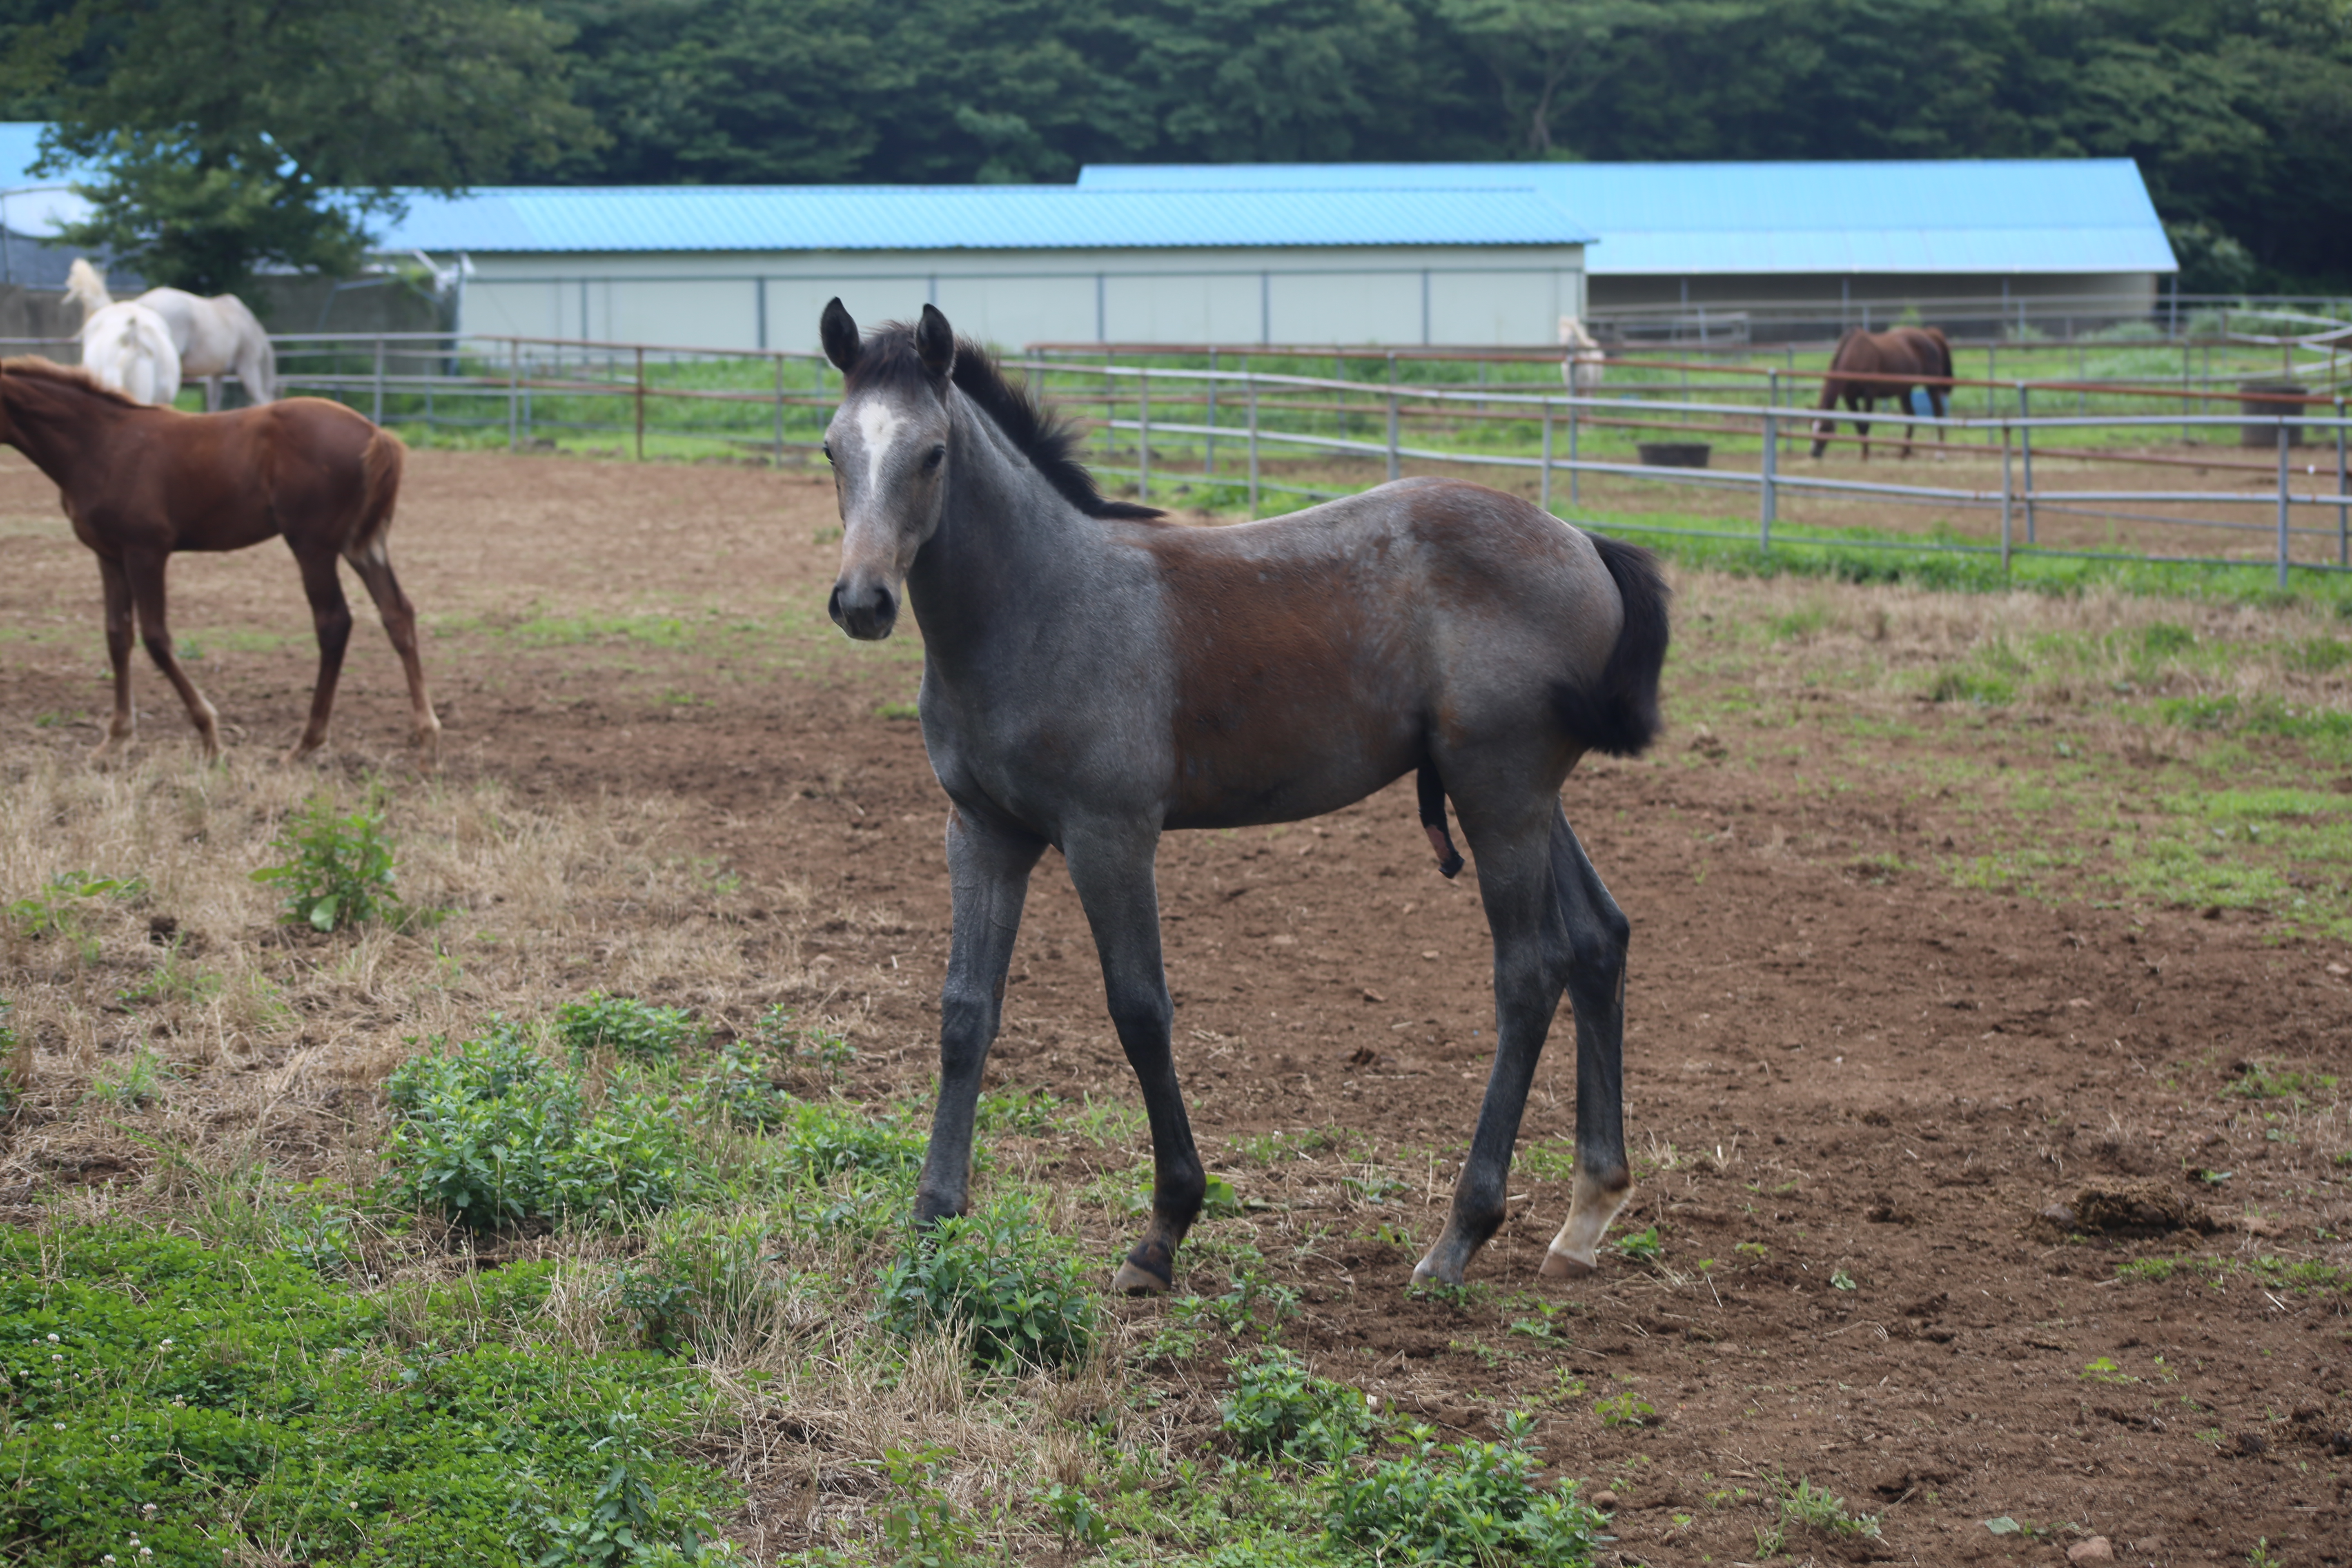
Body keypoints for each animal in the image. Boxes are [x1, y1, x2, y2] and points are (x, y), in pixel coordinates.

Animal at [0, 357, 440, 771]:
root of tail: (375, 433)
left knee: (334, 623)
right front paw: (115, 739)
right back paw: (427, 743)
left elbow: (157, 639)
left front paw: (210, 738)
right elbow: (117, 637)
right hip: (362, 545)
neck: (101, 444)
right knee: (397, 614)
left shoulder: (146, 551)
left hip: (312, 546)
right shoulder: (109, 555)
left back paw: (305, 744)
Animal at [1806, 324, 1957, 461]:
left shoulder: (1869, 395)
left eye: (1824, 429)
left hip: (1932, 387)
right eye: (1811, 428)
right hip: (1905, 391)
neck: (1855, 355)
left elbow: (1866, 425)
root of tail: (1928, 334)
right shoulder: (1850, 398)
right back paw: (1905, 452)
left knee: (1939, 413)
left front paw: (1866, 455)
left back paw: (1940, 453)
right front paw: (1864, 453)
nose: (1814, 453)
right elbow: (1859, 425)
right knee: (1911, 416)